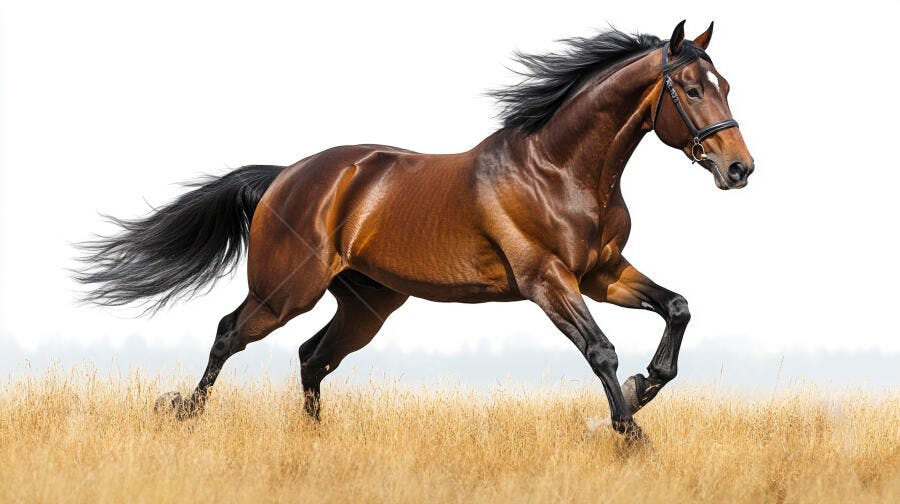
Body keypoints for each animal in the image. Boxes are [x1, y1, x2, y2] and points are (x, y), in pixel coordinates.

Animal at [75, 20, 753, 442]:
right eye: (691, 89)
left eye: (725, 85)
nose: (739, 169)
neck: (558, 169)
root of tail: (284, 178)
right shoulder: (548, 281)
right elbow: (601, 350)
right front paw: (631, 432)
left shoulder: (602, 272)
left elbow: (677, 307)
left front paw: (643, 388)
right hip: (285, 292)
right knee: (229, 334)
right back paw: (183, 412)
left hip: (367, 303)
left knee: (312, 357)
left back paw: (312, 443)